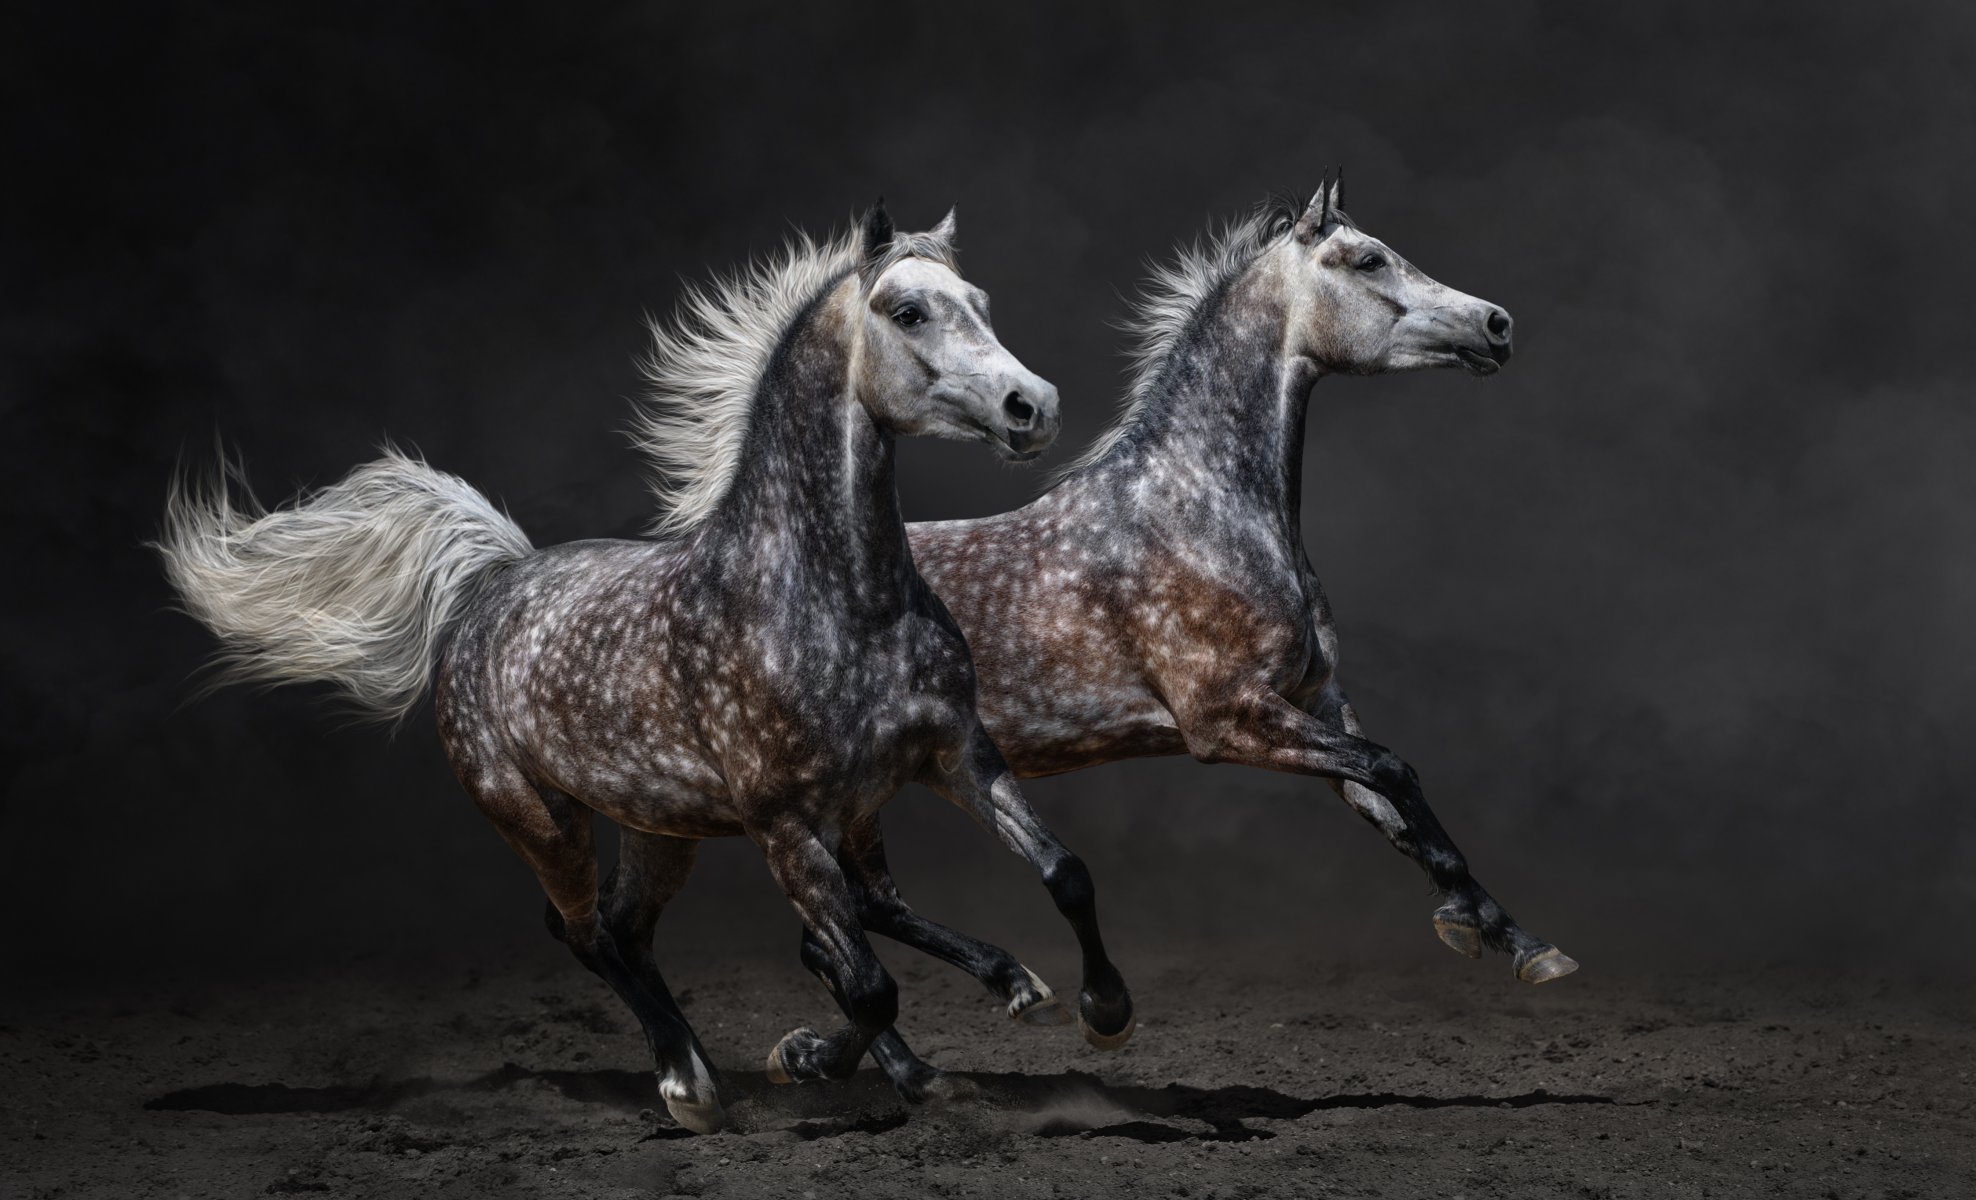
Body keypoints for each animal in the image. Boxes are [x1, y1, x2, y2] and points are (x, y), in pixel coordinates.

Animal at [157, 205, 1136, 1135]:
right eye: (908, 311)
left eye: (981, 304)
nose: (1031, 405)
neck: (836, 600)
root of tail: (493, 584)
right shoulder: (782, 824)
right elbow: (865, 985)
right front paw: (804, 1058)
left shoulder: (953, 757)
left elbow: (1061, 873)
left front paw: (1097, 1009)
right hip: (542, 820)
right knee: (590, 934)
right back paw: (689, 1084)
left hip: (668, 827)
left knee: (664, 928)